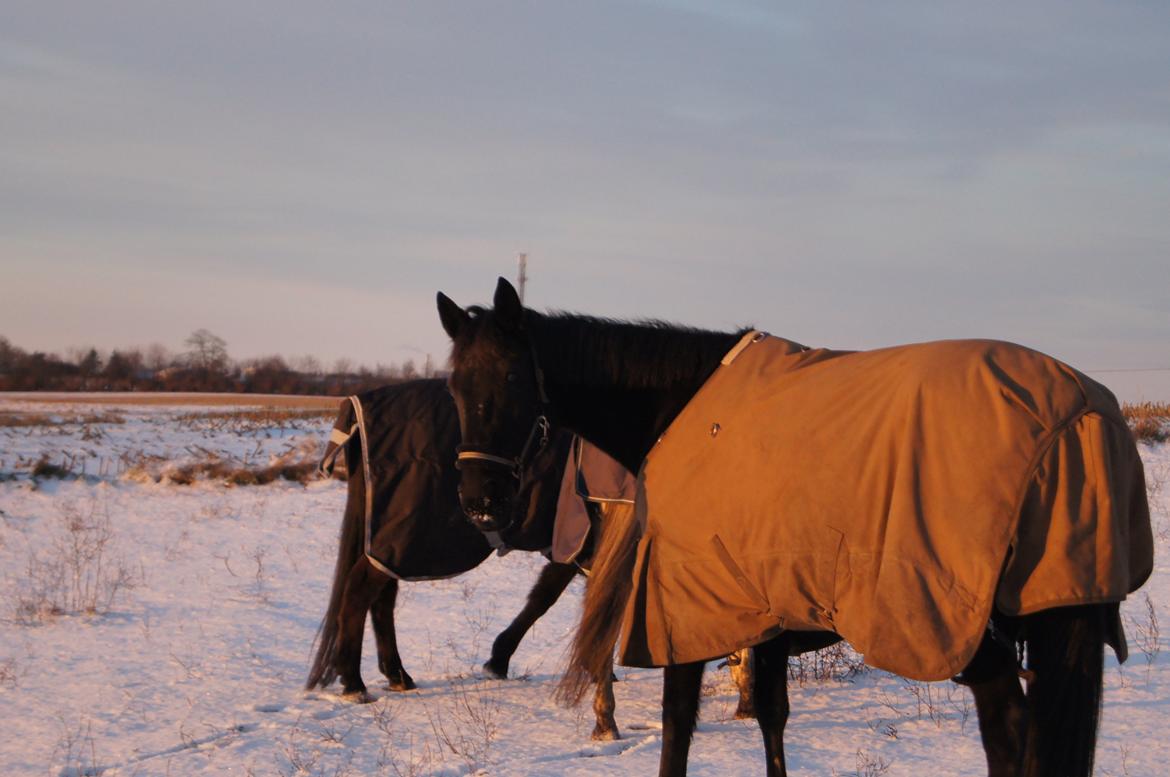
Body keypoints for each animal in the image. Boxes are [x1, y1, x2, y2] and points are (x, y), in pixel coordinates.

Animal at [437, 279, 1151, 777]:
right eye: (453, 386)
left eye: (512, 379)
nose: (478, 501)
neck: (679, 405)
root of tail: (1082, 415)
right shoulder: (766, 605)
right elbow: (773, 722)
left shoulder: (687, 606)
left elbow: (677, 728)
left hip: (956, 624)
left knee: (1008, 727)